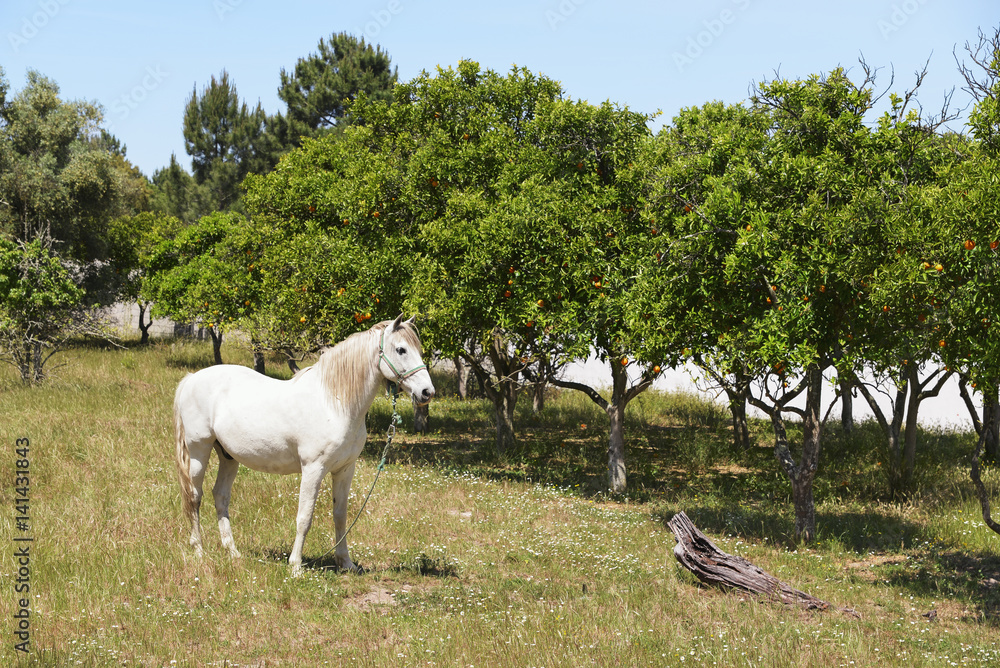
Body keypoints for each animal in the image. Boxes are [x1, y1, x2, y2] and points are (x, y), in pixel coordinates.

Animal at [173, 314, 435, 574]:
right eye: (401, 349)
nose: (427, 392)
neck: (335, 403)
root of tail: (191, 379)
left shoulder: (345, 469)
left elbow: (340, 515)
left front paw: (346, 563)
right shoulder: (313, 469)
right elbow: (304, 517)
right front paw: (296, 566)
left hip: (228, 456)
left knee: (220, 496)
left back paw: (233, 552)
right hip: (199, 450)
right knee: (195, 496)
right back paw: (199, 550)